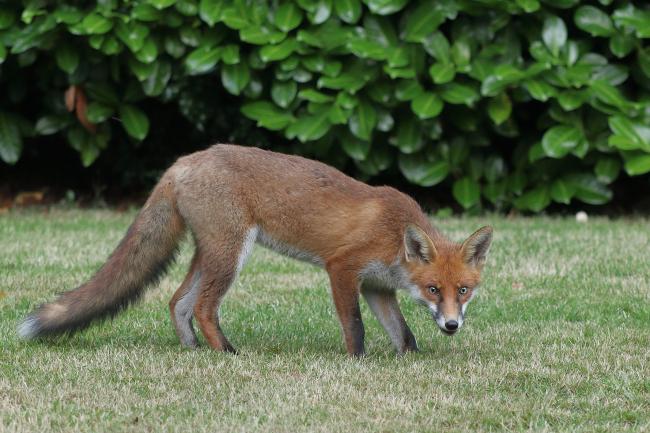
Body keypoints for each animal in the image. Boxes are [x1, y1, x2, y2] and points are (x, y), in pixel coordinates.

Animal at [18, 144, 493, 356]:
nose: (452, 325)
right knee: (204, 306)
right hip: (232, 254)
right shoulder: (342, 269)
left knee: (177, 302)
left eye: (463, 290)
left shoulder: (378, 287)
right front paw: (358, 362)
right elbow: (355, 327)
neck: (394, 236)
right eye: (433, 290)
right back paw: (226, 353)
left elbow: (403, 333)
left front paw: (410, 361)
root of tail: (184, 161)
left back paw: (194, 351)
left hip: (210, 253)